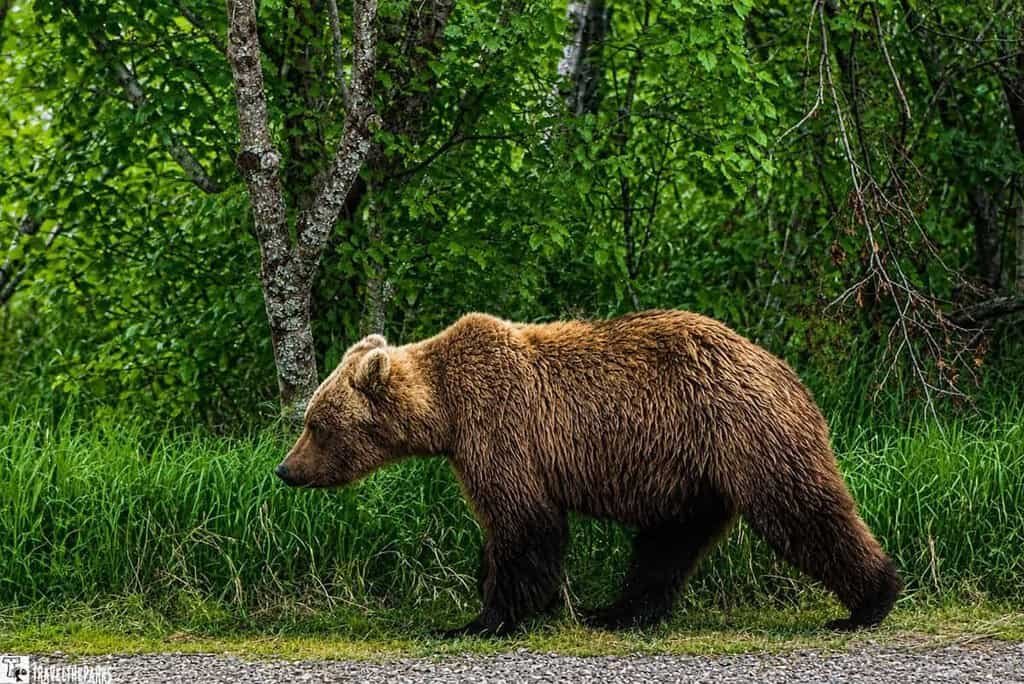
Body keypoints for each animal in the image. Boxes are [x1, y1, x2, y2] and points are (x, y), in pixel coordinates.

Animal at [275, 310, 901, 636]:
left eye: (316, 424)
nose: (286, 470)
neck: (446, 412)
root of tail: (786, 371)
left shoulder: (503, 432)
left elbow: (524, 526)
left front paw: (482, 619)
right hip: (694, 474)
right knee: (668, 543)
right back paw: (620, 611)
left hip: (742, 430)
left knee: (802, 509)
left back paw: (872, 600)